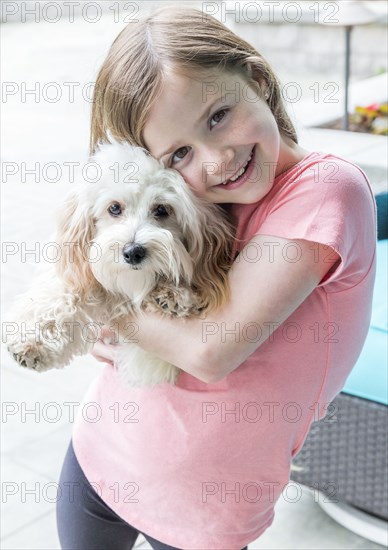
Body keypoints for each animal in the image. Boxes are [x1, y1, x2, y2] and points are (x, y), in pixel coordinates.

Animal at [6, 142, 232, 388]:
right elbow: (61, 294)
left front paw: (174, 293)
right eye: (114, 208)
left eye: (162, 209)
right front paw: (33, 341)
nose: (133, 252)